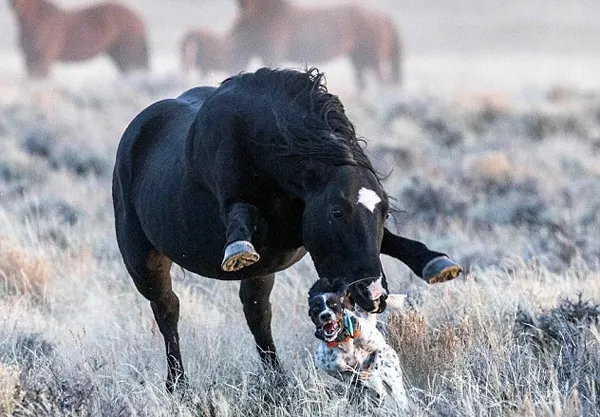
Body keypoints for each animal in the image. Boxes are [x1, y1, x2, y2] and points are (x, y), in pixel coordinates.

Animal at [112, 68, 460, 390]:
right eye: (337, 211)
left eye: (384, 210)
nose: (373, 293)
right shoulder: (236, 202)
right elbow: (239, 214)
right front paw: (238, 249)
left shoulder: (298, 231)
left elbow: (394, 241)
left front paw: (437, 263)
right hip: (143, 261)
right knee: (168, 310)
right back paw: (179, 385)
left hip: (260, 275)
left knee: (257, 314)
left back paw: (277, 378)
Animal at [308, 276, 410, 410]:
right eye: (316, 308)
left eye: (334, 304)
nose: (325, 315)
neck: (344, 341)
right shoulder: (331, 367)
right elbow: (343, 369)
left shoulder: (379, 346)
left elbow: (374, 367)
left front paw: (372, 380)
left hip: (395, 385)